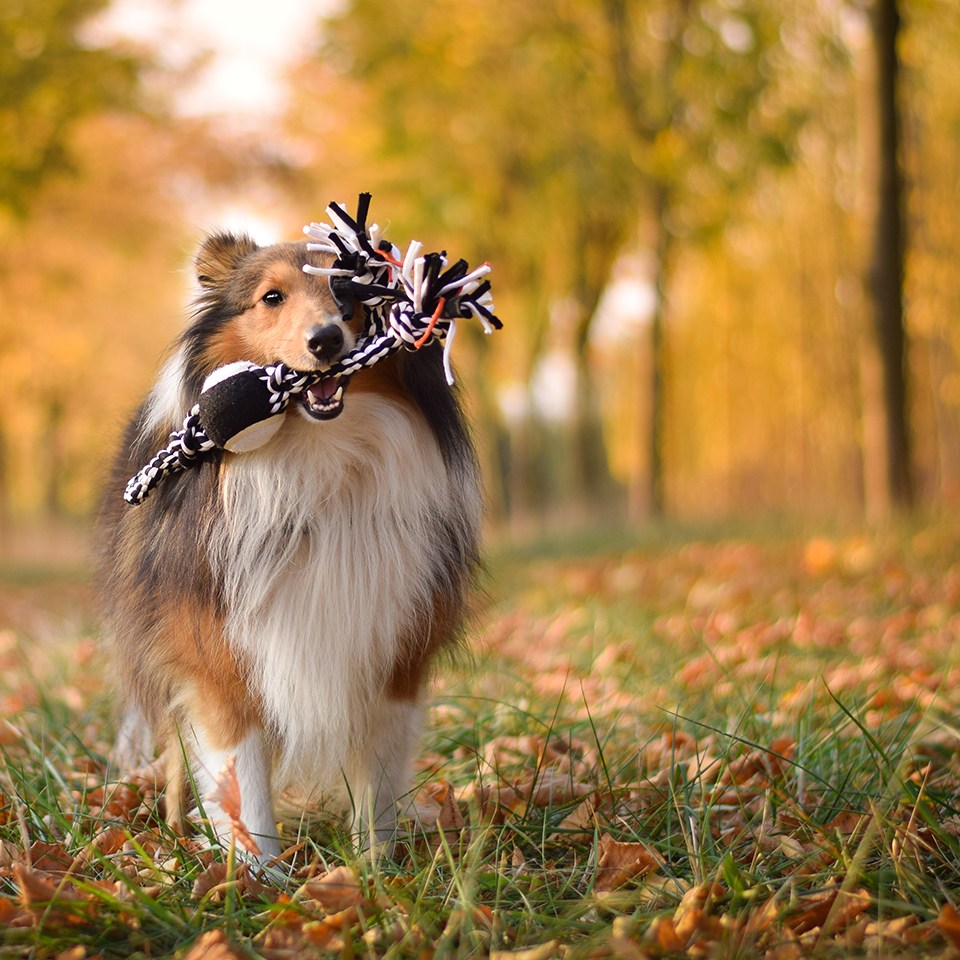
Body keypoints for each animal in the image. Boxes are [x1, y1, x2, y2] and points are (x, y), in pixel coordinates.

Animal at [97, 229, 480, 860]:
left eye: (352, 294)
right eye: (271, 297)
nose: (326, 341)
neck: (315, 458)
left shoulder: (392, 646)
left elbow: (377, 780)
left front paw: (375, 869)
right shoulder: (219, 655)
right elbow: (243, 780)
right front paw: (259, 873)